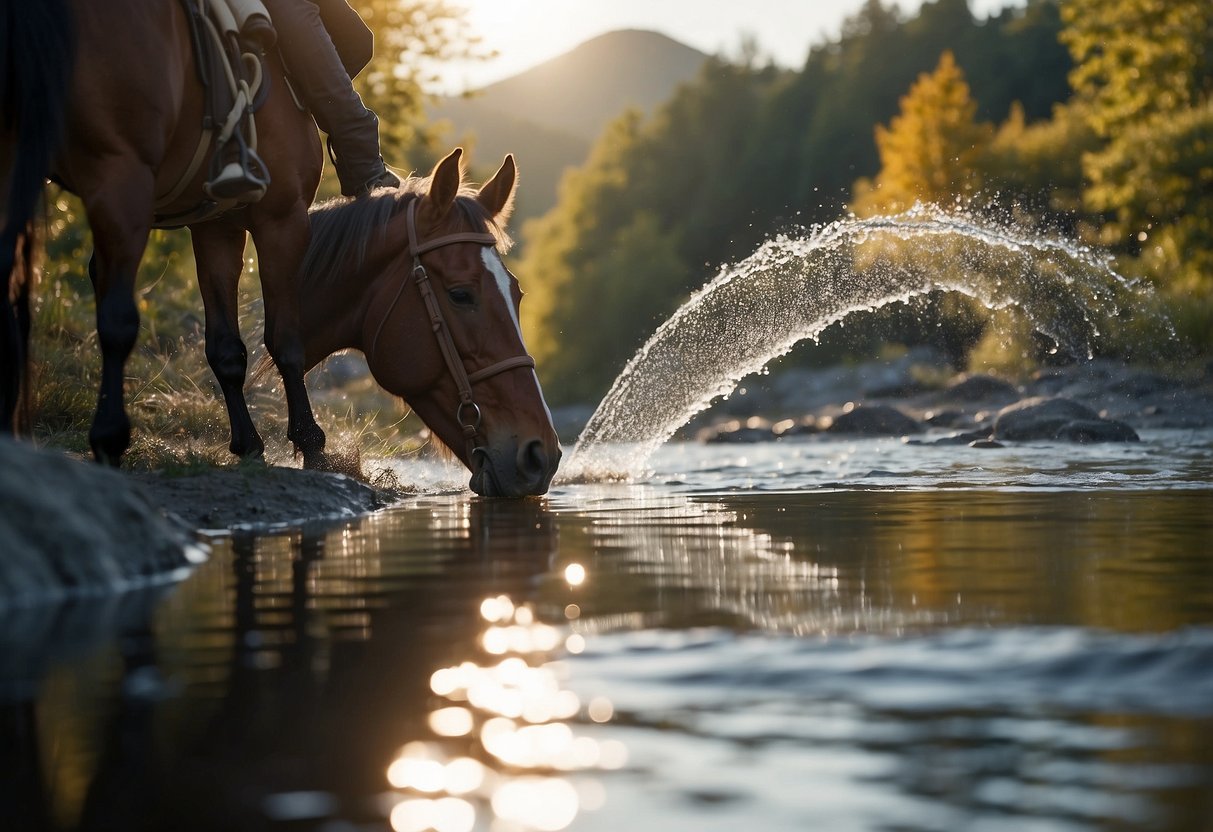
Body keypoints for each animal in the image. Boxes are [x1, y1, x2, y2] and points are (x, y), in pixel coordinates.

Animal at [0, 0, 557, 494]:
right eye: (461, 295)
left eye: (518, 294)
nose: (541, 454)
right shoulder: (278, 217)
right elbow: (285, 339)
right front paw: (312, 447)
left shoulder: (216, 222)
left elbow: (226, 347)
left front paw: (250, 447)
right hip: (119, 176)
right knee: (115, 321)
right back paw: (110, 438)